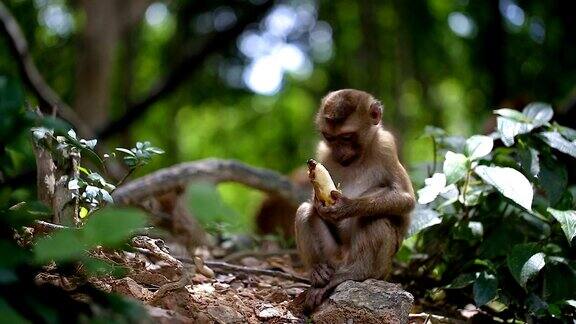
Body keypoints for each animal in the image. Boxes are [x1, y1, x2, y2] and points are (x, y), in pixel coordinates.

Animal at [296, 89, 414, 312]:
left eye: (347, 136)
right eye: (329, 137)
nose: (339, 152)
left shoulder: (386, 146)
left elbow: (406, 199)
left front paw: (345, 206)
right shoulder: (323, 152)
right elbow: (311, 205)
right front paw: (318, 202)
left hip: (381, 269)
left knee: (375, 218)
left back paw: (357, 273)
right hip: (333, 256)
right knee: (304, 211)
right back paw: (318, 271)